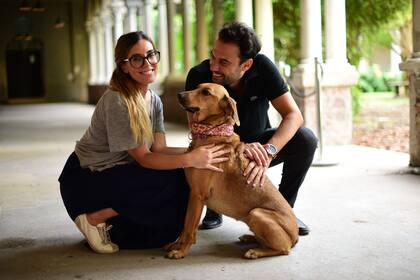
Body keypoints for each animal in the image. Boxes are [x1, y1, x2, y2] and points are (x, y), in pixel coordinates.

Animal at [164, 82, 298, 260]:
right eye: (198, 86)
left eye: (206, 92)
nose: (180, 95)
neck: (211, 132)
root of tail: (295, 236)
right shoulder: (193, 193)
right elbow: (185, 226)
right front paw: (176, 245)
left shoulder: (197, 195)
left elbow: (189, 228)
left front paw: (181, 251)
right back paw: (250, 238)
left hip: (256, 214)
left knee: (283, 249)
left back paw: (255, 251)